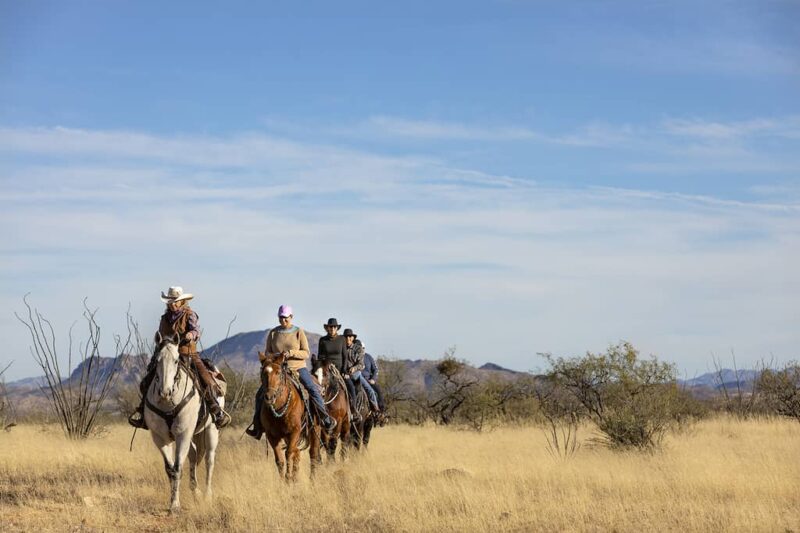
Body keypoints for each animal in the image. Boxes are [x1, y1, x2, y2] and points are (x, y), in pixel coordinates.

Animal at [143, 332, 223, 512]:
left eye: (175, 360)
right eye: (157, 360)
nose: (165, 392)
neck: (168, 403)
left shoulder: (183, 434)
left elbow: (178, 468)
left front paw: (175, 505)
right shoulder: (160, 438)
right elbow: (170, 469)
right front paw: (173, 501)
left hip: (211, 430)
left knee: (209, 460)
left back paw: (207, 495)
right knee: (193, 455)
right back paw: (196, 491)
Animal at [255, 352, 320, 480]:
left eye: (278, 372)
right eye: (263, 372)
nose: (269, 397)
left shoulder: (294, 431)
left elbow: (289, 453)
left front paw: (288, 477)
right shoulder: (272, 435)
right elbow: (279, 460)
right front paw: (283, 480)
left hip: (314, 429)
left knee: (313, 453)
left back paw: (312, 479)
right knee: (297, 453)